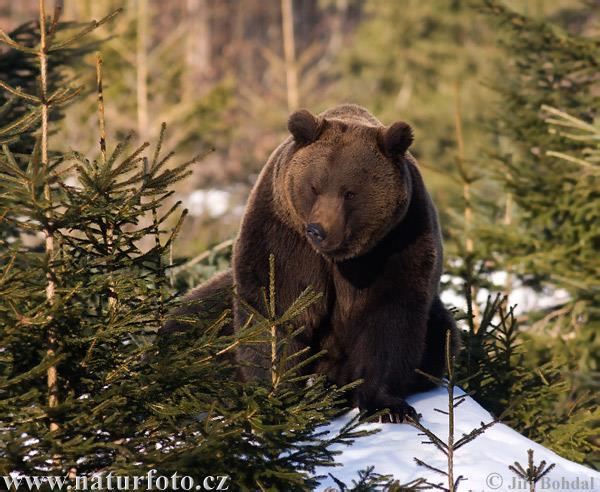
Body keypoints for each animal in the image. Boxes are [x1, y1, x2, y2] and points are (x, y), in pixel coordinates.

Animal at [164, 104, 460, 422]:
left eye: (349, 192)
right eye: (314, 187)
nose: (319, 230)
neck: (338, 258)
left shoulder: (396, 242)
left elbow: (389, 316)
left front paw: (389, 406)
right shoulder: (284, 239)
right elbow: (278, 310)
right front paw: (276, 392)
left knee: (442, 339)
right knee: (192, 324)